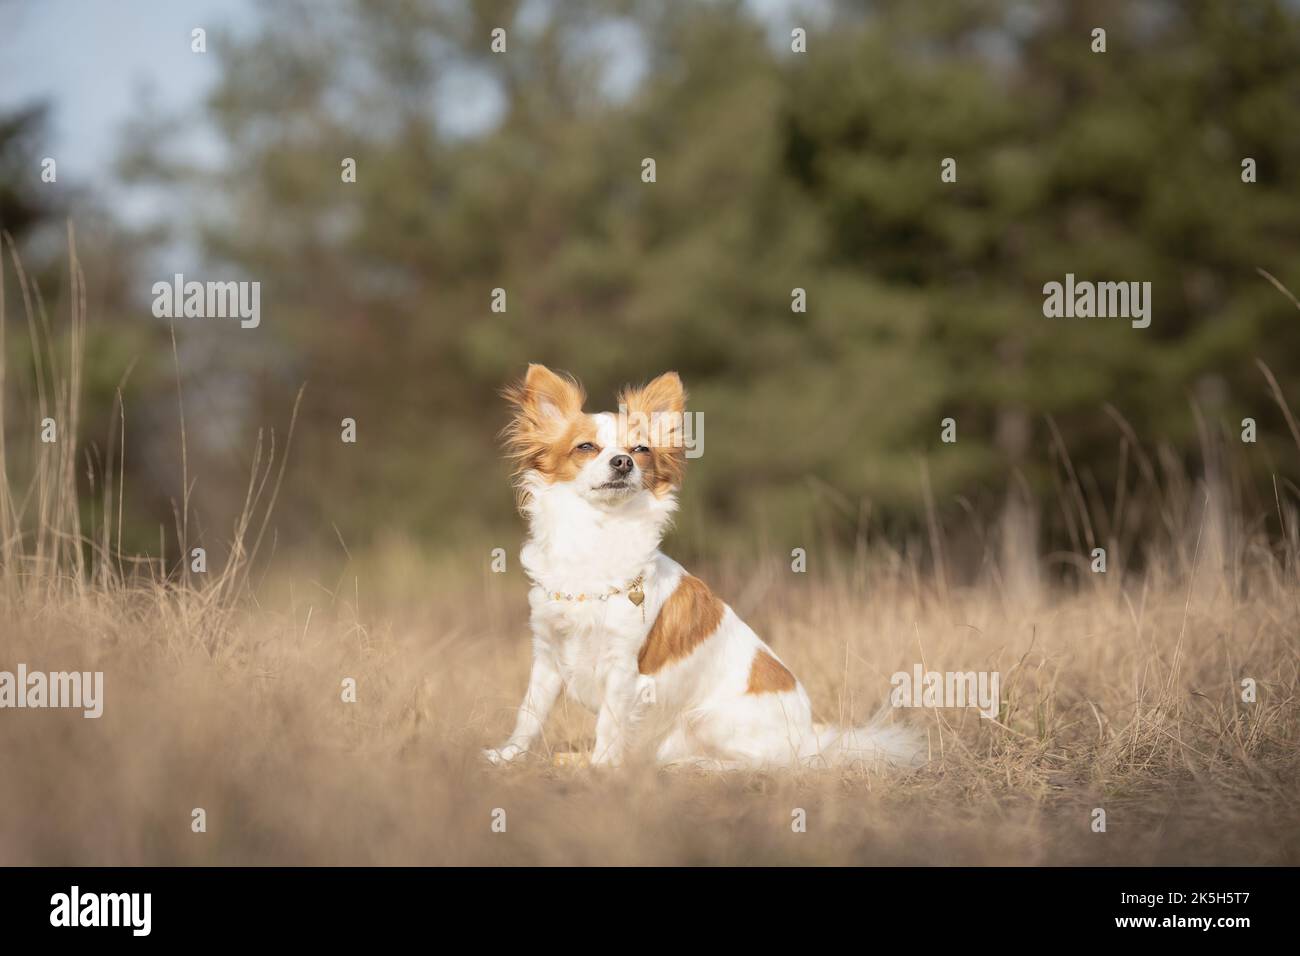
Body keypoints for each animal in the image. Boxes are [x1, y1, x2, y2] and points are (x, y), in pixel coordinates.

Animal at [486, 361, 925, 775]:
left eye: (641, 449)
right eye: (586, 447)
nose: (623, 462)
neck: (597, 532)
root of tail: (808, 739)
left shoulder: (623, 668)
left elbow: (609, 724)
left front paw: (600, 767)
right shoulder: (546, 657)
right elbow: (529, 715)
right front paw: (507, 756)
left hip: (709, 718)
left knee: (763, 764)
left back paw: (697, 765)